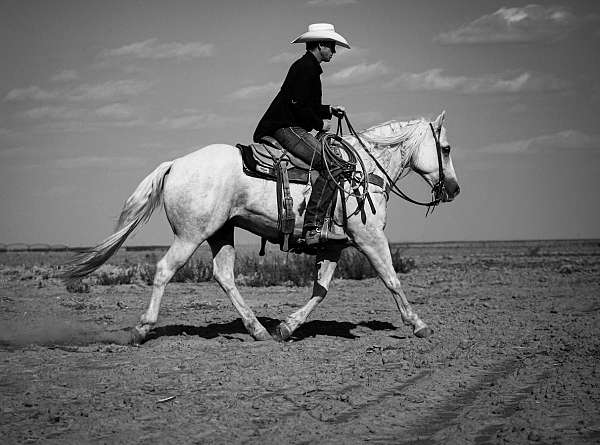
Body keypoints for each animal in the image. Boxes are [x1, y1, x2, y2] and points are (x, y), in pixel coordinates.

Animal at [63, 111, 460, 344]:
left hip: (221, 233)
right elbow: (391, 279)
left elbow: (320, 289)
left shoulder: (334, 245)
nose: (454, 189)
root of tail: (175, 163)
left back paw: (257, 329)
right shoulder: (370, 238)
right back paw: (142, 328)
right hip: (190, 235)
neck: (361, 170)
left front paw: (287, 326)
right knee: (164, 270)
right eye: (445, 147)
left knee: (224, 275)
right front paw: (419, 324)